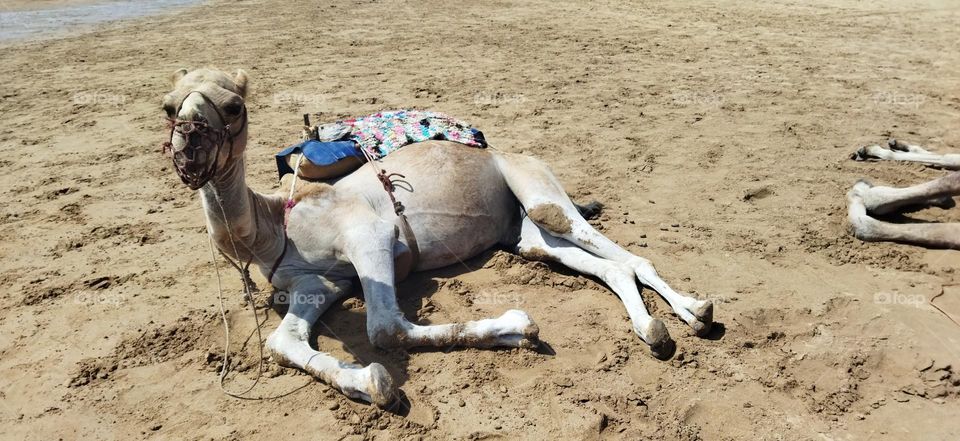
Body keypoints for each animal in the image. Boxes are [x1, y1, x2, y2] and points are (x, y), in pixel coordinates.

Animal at [161, 68, 712, 406]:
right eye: (168, 107)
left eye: (235, 106)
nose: (189, 148)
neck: (277, 228)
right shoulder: (317, 284)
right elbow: (281, 342)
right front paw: (365, 381)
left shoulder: (372, 236)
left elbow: (385, 329)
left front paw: (517, 326)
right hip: (523, 234)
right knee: (601, 263)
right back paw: (654, 330)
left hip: (535, 187)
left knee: (623, 253)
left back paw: (696, 312)